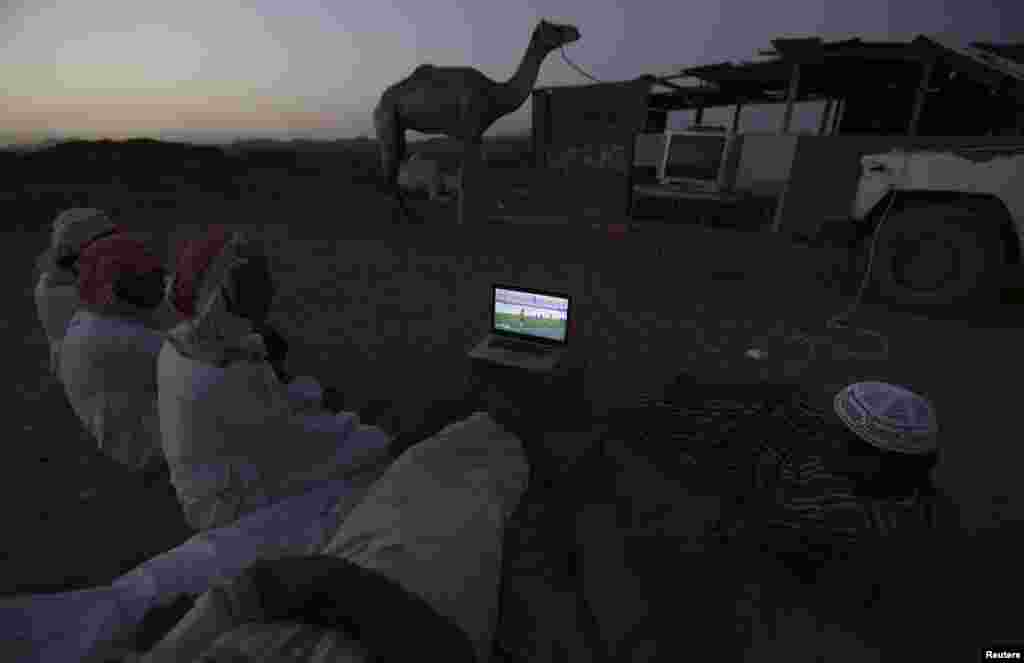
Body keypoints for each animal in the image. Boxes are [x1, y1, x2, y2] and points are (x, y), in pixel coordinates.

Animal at [372, 18, 581, 225]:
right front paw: (463, 221)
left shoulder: (476, 134)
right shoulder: (470, 129)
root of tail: (378, 105)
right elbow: (466, 177)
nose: (576, 31)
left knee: (394, 168)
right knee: (389, 171)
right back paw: (403, 216)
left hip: (398, 127)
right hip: (387, 119)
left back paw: (408, 215)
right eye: (556, 28)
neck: (494, 94)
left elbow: (477, 173)